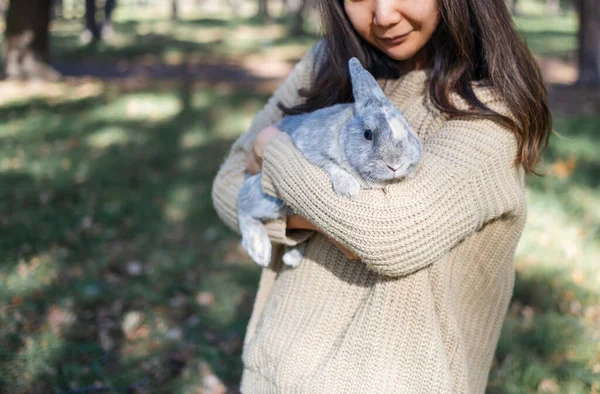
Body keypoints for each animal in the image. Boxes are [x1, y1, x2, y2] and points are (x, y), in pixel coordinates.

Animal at [238, 57, 422, 268]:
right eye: (368, 134)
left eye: (407, 130)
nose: (395, 165)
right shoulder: (310, 149)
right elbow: (332, 165)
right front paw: (348, 189)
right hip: (267, 199)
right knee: (243, 205)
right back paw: (260, 251)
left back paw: (292, 258)